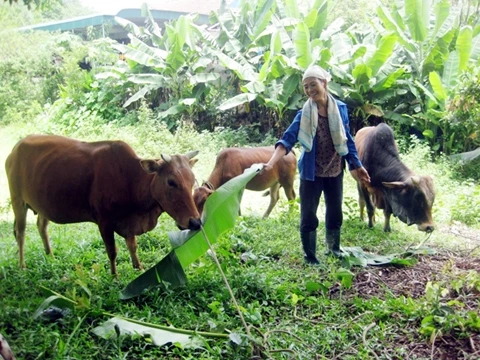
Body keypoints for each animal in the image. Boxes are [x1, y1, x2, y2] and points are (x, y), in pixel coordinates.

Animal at [3, 134, 200, 272]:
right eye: (171, 182)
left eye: (192, 181)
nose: (196, 222)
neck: (130, 179)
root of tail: (15, 148)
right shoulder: (104, 222)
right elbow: (112, 251)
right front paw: (114, 277)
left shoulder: (128, 223)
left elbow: (132, 246)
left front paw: (139, 267)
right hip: (18, 201)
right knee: (20, 233)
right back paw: (22, 265)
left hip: (43, 205)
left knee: (41, 227)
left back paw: (50, 256)